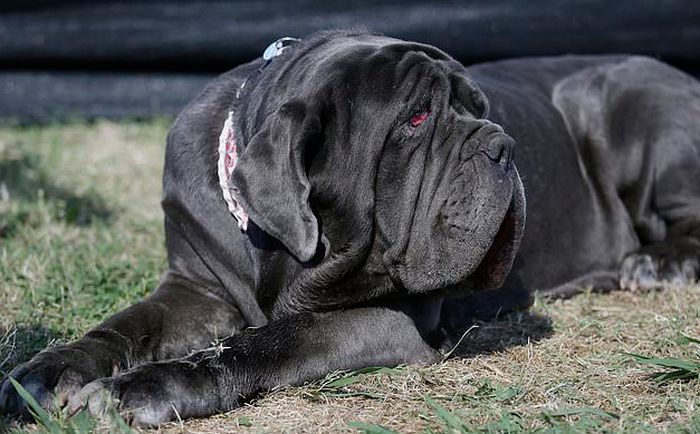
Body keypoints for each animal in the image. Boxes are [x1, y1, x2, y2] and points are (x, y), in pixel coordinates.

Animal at [1, 31, 700, 428]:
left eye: (480, 108)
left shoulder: (387, 317)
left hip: (635, 106)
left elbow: (269, 341)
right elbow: (126, 325)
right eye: (416, 119)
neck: (279, 245)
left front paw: (140, 387)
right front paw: (46, 370)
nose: (501, 144)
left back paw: (658, 262)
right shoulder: (194, 291)